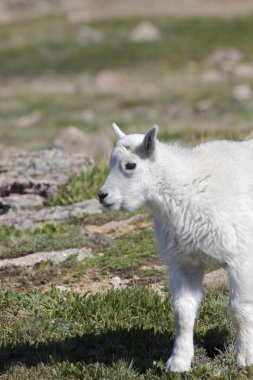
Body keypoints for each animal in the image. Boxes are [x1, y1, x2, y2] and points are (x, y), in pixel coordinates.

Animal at [98, 123, 253, 372]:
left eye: (131, 165)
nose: (103, 196)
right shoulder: (185, 263)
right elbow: (183, 312)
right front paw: (178, 362)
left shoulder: (241, 257)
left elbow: (240, 309)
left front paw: (245, 359)